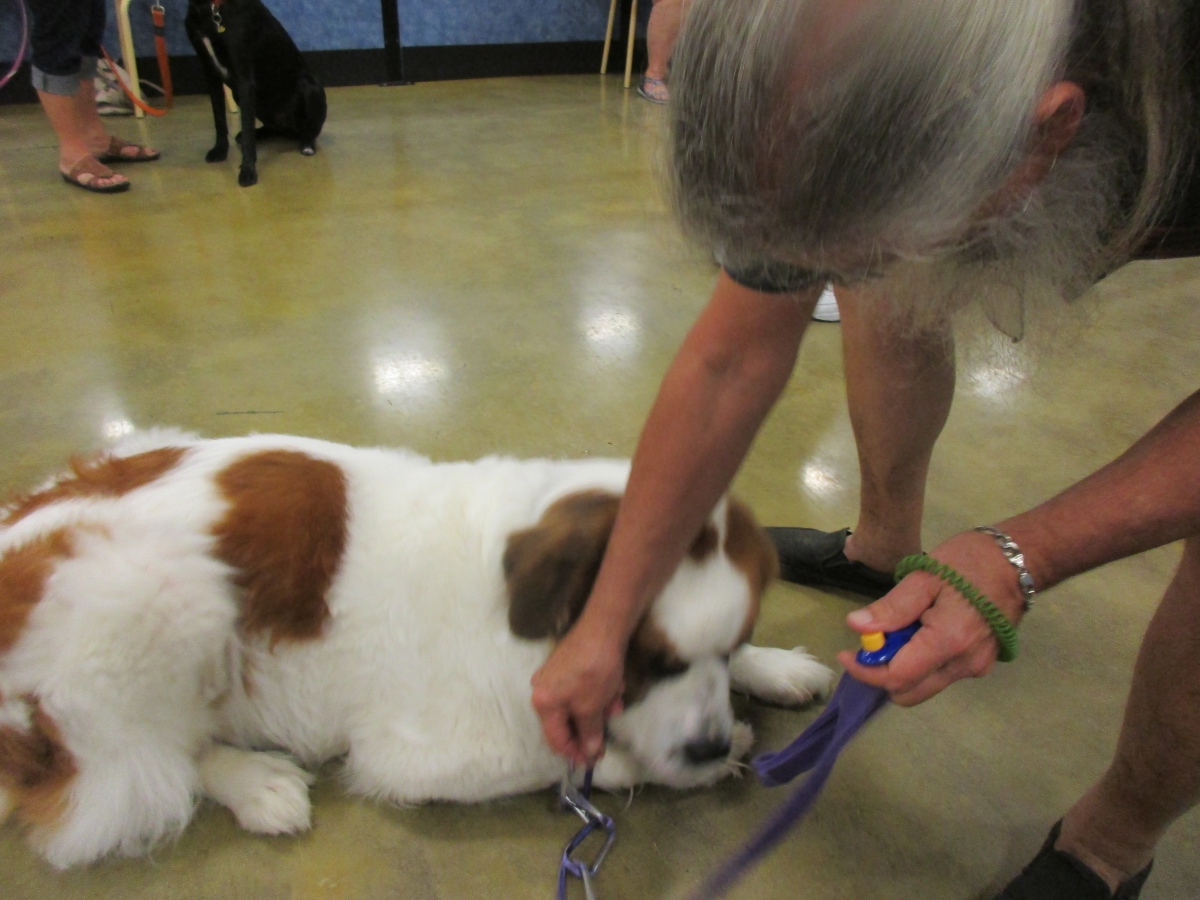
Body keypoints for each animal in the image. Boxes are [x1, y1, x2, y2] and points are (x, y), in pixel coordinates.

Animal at [0, 431, 832, 868]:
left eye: (732, 644)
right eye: (650, 663)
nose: (707, 743)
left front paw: (774, 666)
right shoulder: (414, 754)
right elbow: (559, 761)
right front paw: (671, 763)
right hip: (166, 593)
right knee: (143, 769)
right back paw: (255, 782)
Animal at [185, 0, 327, 187]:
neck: (210, 9)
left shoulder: (244, 77)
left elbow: (246, 127)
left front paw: (247, 170)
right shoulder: (210, 73)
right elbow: (220, 120)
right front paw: (220, 150)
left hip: (312, 88)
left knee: (309, 130)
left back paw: (306, 144)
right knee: (271, 128)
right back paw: (259, 133)